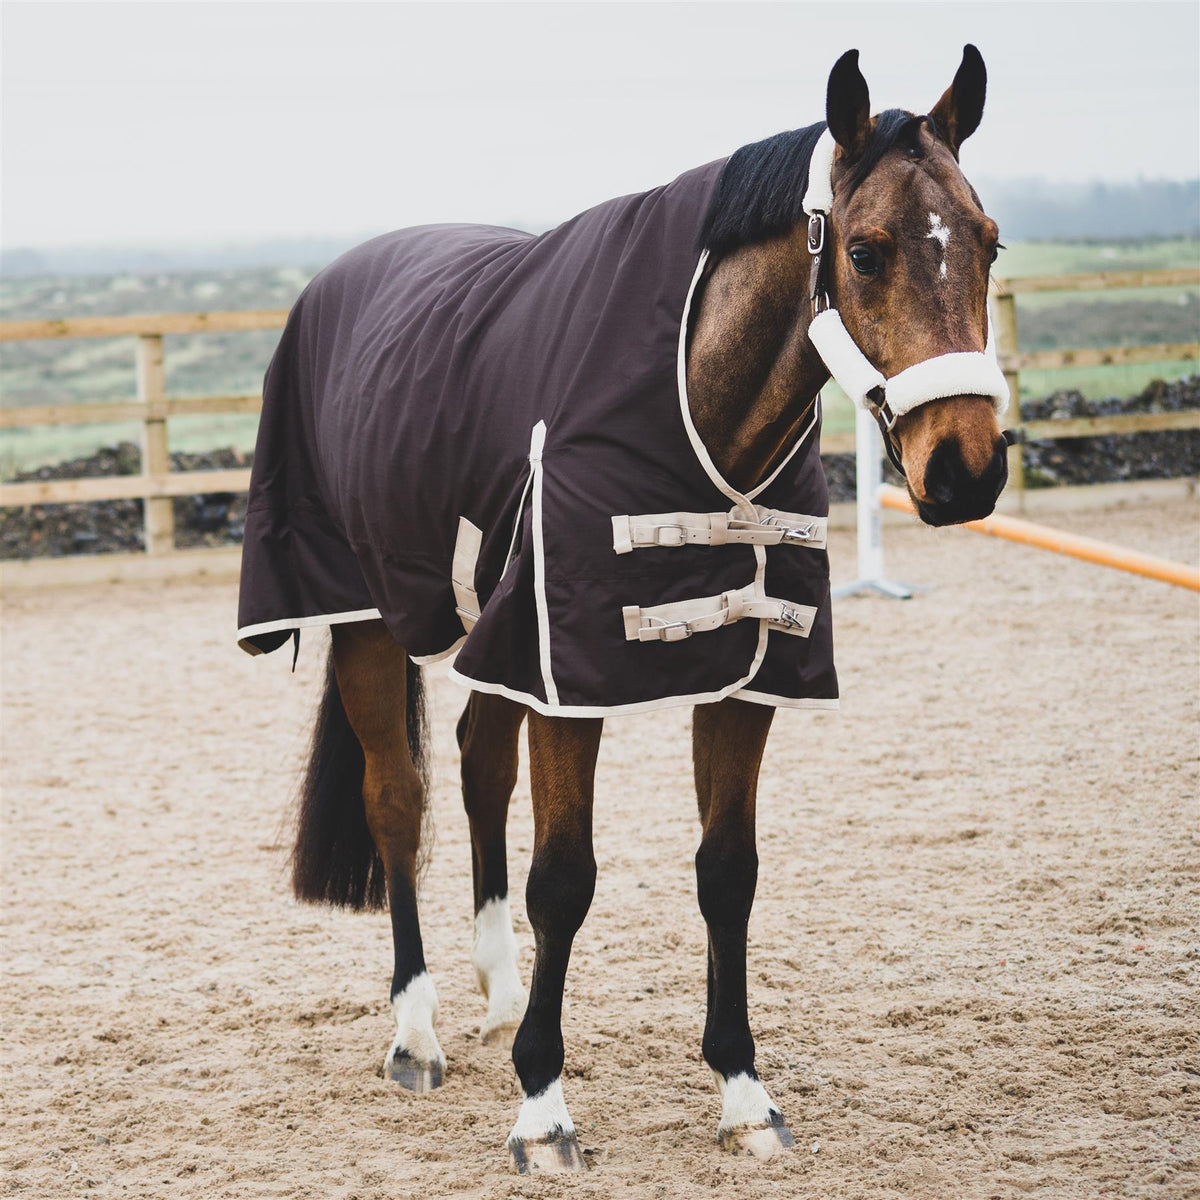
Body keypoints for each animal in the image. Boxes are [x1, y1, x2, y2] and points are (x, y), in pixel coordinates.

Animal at [238, 45, 1010, 1172]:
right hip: (369, 620)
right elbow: (564, 878)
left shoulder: (741, 676)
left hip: (496, 637)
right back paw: (417, 1031)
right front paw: (542, 1110)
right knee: (399, 801)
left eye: (990, 243)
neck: (692, 394)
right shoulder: (573, 676)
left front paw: (745, 1094)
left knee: (477, 767)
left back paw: (498, 995)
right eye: (866, 253)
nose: (966, 470)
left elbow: (728, 871)